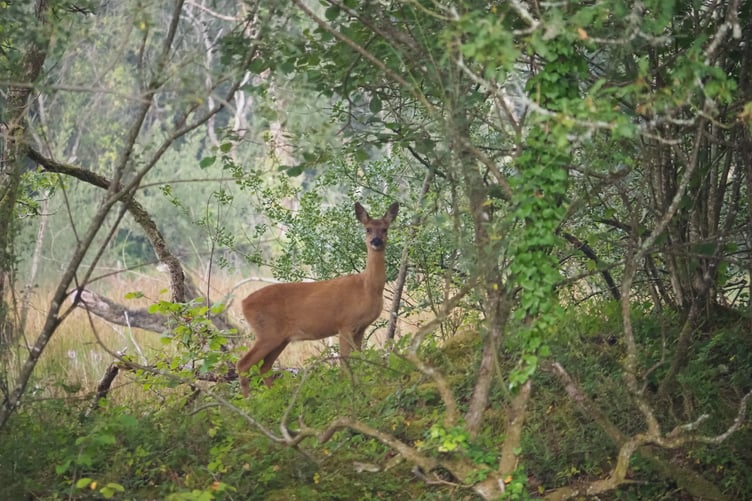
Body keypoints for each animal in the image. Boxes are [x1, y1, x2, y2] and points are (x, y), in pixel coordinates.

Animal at [236, 201, 399, 397]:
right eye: (367, 229)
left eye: (385, 229)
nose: (376, 241)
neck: (366, 287)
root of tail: (244, 303)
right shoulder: (344, 324)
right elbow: (345, 363)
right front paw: (349, 390)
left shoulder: (361, 327)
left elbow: (358, 360)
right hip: (267, 332)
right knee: (243, 364)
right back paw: (248, 400)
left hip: (279, 338)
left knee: (264, 367)